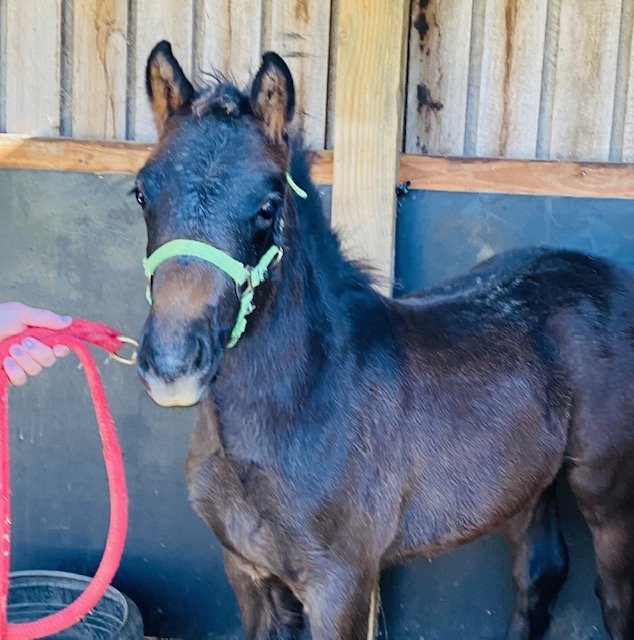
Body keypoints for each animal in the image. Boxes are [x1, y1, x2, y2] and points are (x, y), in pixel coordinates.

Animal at [135, 40, 634, 639]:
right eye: (142, 193)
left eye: (267, 206)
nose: (172, 364)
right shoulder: (249, 575)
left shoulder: (342, 583)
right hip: (527, 486)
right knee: (539, 576)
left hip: (609, 494)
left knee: (614, 595)